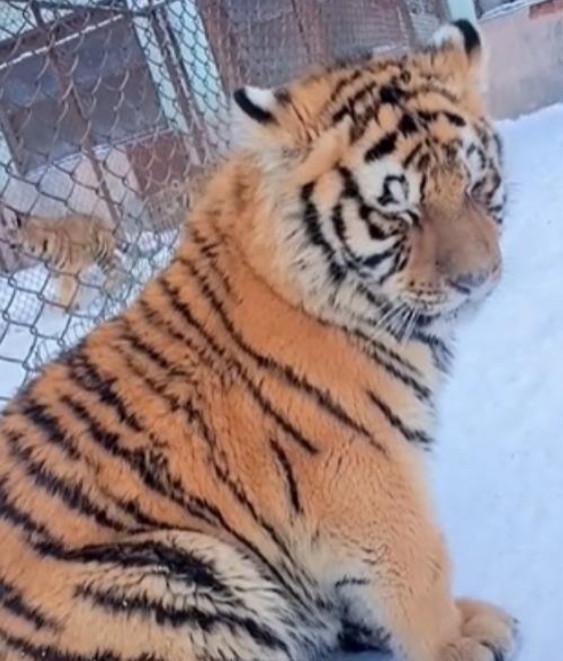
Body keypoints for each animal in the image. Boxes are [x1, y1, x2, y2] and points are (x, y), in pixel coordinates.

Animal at [0, 20, 517, 661]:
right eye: (397, 214)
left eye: (476, 184)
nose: (478, 280)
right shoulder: (362, 469)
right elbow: (418, 567)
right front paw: (456, 641)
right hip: (166, 575)